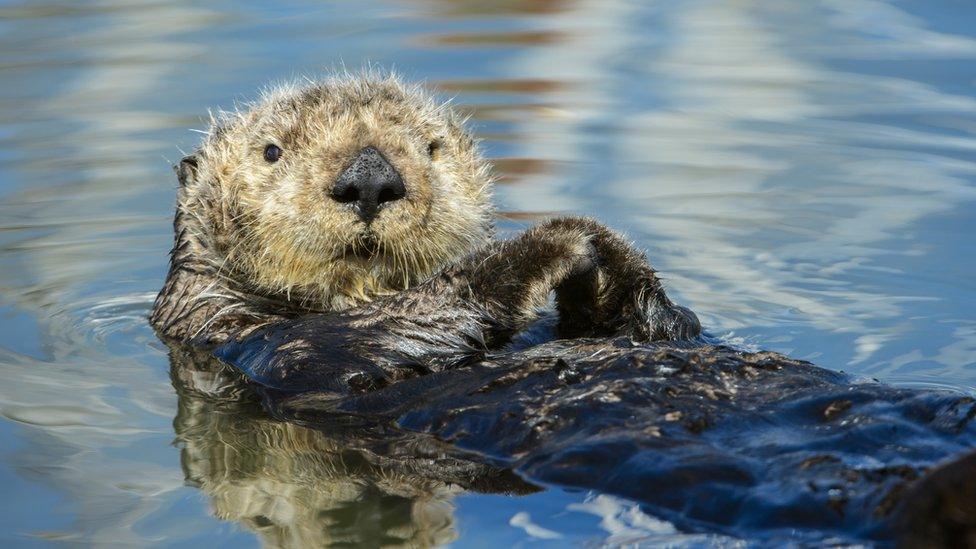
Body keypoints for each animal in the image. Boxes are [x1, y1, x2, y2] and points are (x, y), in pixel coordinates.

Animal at [156, 73, 976, 544]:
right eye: (271, 151)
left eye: (430, 147)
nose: (369, 177)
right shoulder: (260, 343)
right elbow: (390, 335)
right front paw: (556, 240)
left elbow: (654, 328)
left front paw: (607, 259)